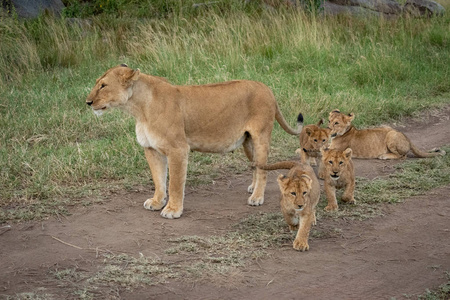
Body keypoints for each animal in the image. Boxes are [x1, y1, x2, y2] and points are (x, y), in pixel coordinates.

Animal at [85, 64, 300, 218]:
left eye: (103, 85)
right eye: (97, 83)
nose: (87, 102)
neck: (139, 109)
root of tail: (267, 88)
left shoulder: (178, 149)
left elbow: (174, 183)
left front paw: (173, 210)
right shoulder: (151, 149)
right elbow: (158, 180)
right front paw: (156, 202)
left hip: (261, 136)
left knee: (263, 170)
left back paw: (256, 197)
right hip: (247, 142)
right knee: (256, 165)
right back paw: (252, 188)